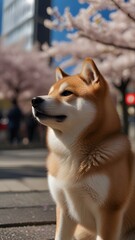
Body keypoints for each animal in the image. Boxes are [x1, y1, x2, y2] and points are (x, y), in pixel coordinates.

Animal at [31, 58, 134, 240]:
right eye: (49, 92)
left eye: (66, 93)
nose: (34, 100)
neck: (70, 153)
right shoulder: (64, 207)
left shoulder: (109, 211)